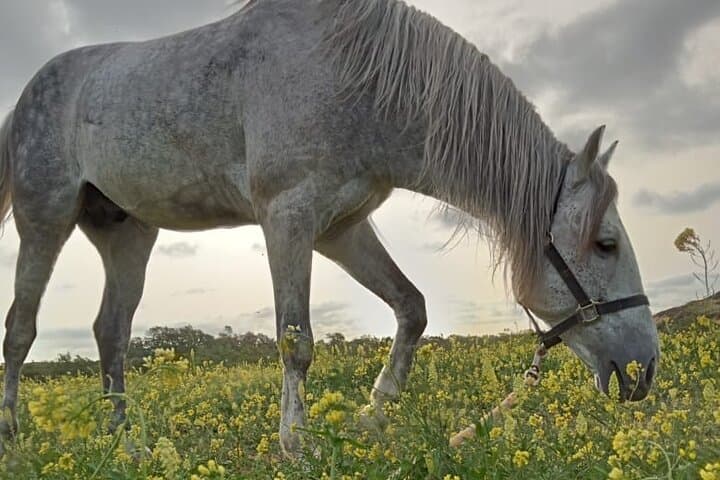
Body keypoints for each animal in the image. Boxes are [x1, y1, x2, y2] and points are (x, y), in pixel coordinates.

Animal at [0, 0, 659, 455]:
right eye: (605, 244)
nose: (644, 371)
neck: (357, 78)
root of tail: (30, 93)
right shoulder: (287, 217)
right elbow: (296, 340)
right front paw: (297, 445)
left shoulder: (340, 227)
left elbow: (412, 308)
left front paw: (373, 413)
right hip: (45, 219)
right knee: (20, 330)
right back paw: (15, 436)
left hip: (128, 233)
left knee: (110, 332)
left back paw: (125, 444)